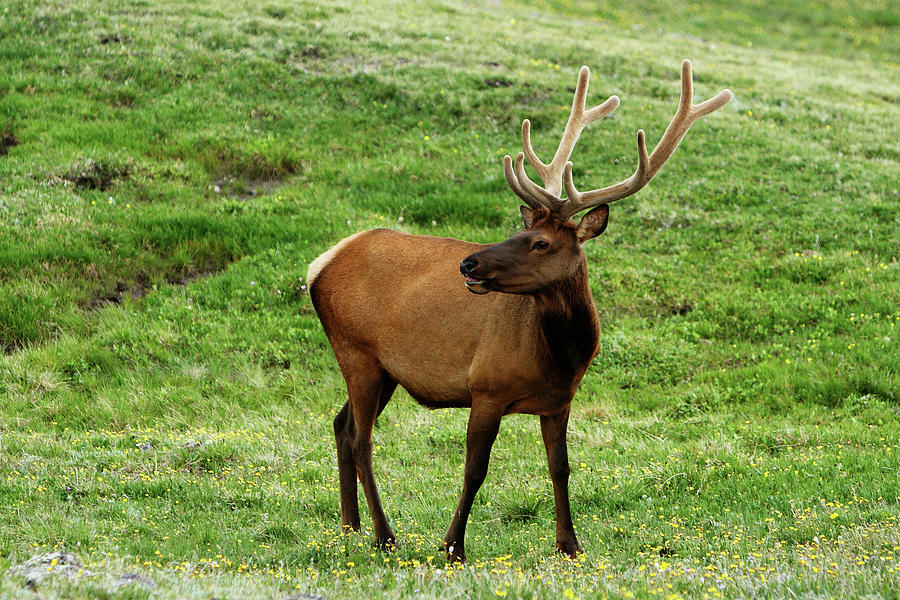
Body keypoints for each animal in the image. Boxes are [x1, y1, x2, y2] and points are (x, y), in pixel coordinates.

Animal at [310, 61, 732, 564]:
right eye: (519, 230)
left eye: (540, 242)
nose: (468, 264)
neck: (560, 357)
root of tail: (319, 265)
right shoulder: (486, 387)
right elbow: (475, 469)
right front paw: (452, 545)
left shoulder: (559, 401)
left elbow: (561, 467)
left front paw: (570, 544)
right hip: (356, 351)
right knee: (362, 438)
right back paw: (383, 534)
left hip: (383, 367)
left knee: (342, 426)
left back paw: (349, 527)